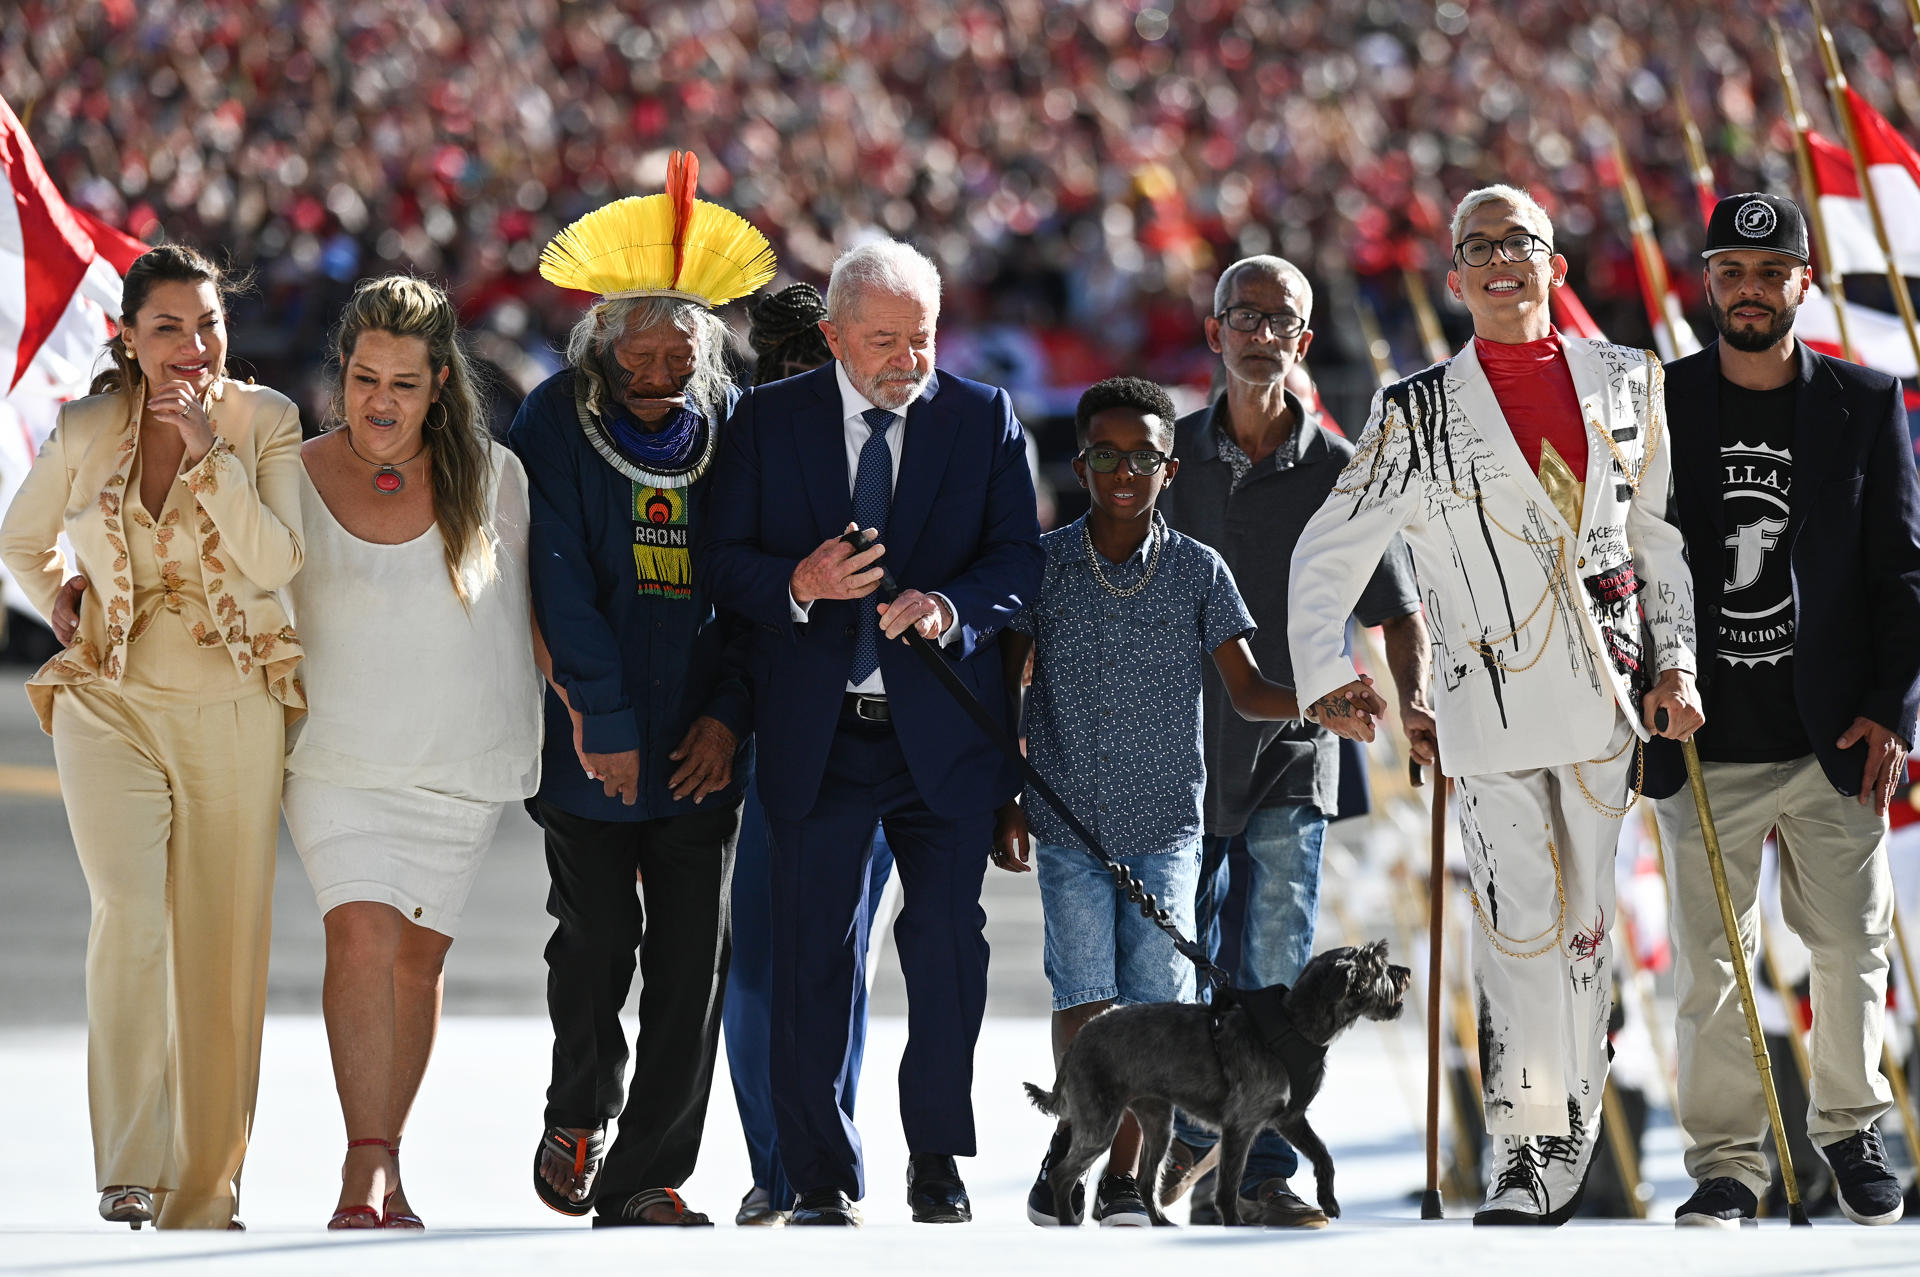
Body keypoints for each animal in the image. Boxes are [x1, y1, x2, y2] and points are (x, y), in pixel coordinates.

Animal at [1021, 937, 1413, 1228]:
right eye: (1380, 966)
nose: (1406, 971)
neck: (1294, 1026)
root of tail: (1080, 1038)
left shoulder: (1289, 1118)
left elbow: (1324, 1156)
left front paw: (1328, 1201)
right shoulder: (1240, 1127)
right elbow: (1228, 1184)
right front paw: (1234, 1225)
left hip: (1158, 1122)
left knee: (1146, 1181)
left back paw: (1160, 1222)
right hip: (1102, 1122)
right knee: (1063, 1174)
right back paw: (1067, 1223)